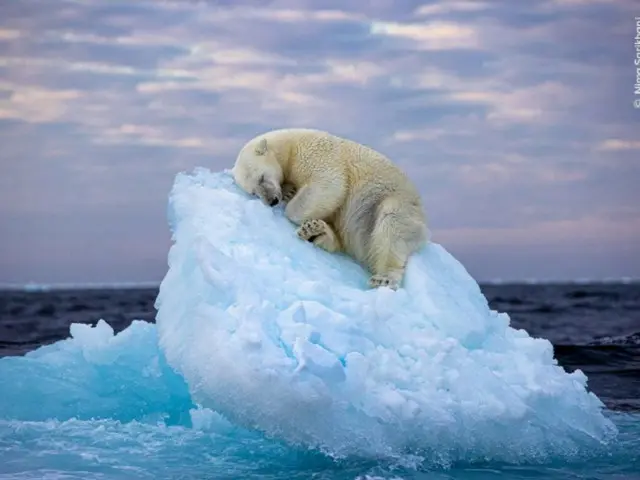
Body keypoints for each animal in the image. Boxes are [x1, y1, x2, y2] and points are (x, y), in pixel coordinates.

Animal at [232, 127, 428, 290]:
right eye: (253, 192)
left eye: (261, 177)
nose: (272, 200)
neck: (289, 145)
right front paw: (289, 191)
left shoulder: (315, 154)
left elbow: (330, 184)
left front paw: (291, 203)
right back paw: (315, 231)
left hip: (396, 203)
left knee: (392, 225)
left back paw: (384, 278)